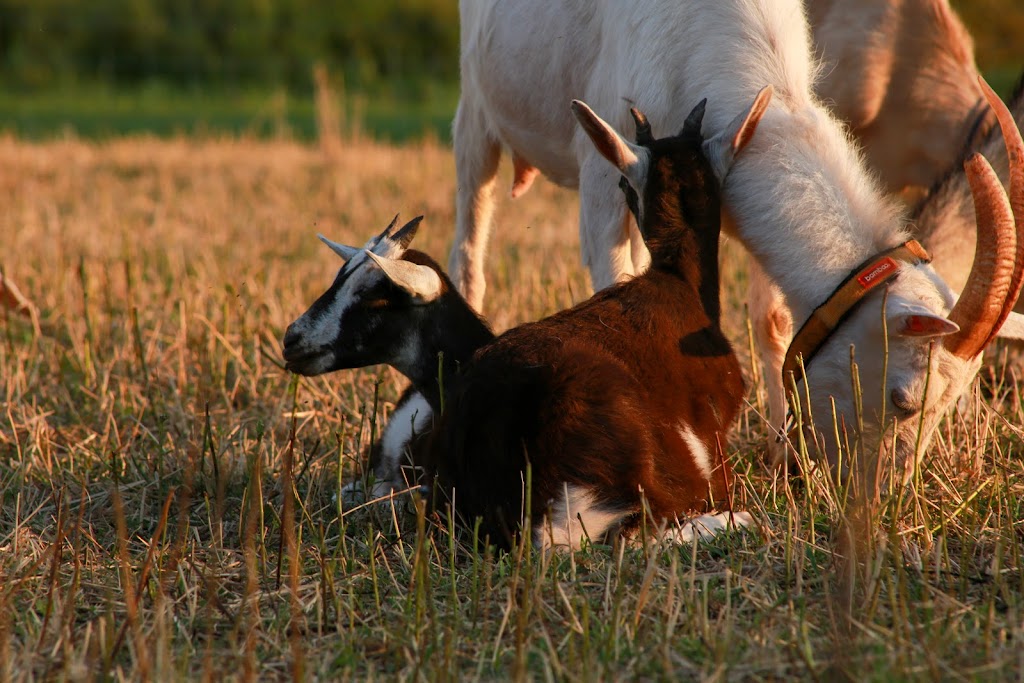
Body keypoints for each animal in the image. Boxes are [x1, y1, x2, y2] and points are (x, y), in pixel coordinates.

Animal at [448, 0, 1024, 471]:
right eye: (902, 399)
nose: (882, 493)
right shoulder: (602, 174)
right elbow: (612, 286)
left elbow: (772, 320)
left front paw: (779, 457)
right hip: (474, 115)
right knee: (468, 246)